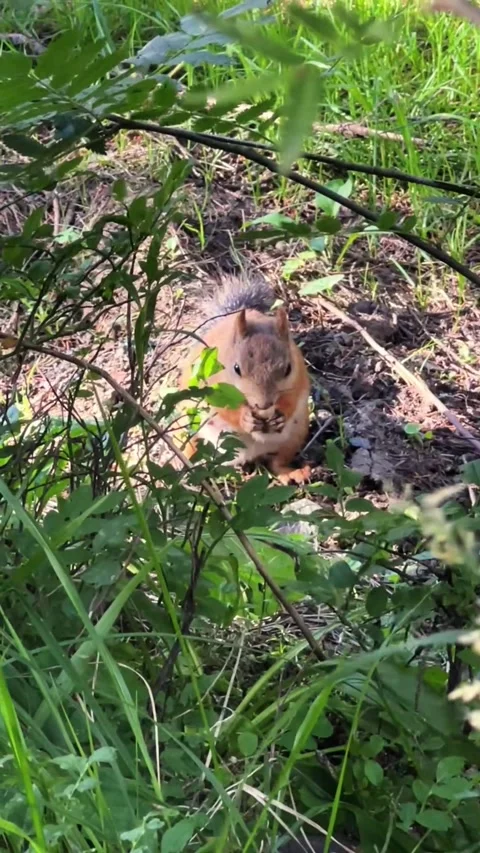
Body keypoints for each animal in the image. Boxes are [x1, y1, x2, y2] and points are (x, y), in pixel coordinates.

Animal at [179, 274, 311, 485]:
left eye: (288, 369)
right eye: (236, 368)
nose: (264, 404)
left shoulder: (299, 378)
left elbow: (292, 398)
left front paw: (280, 415)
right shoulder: (211, 388)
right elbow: (224, 410)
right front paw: (245, 419)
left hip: (295, 435)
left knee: (277, 462)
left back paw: (293, 473)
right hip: (190, 426)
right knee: (190, 446)